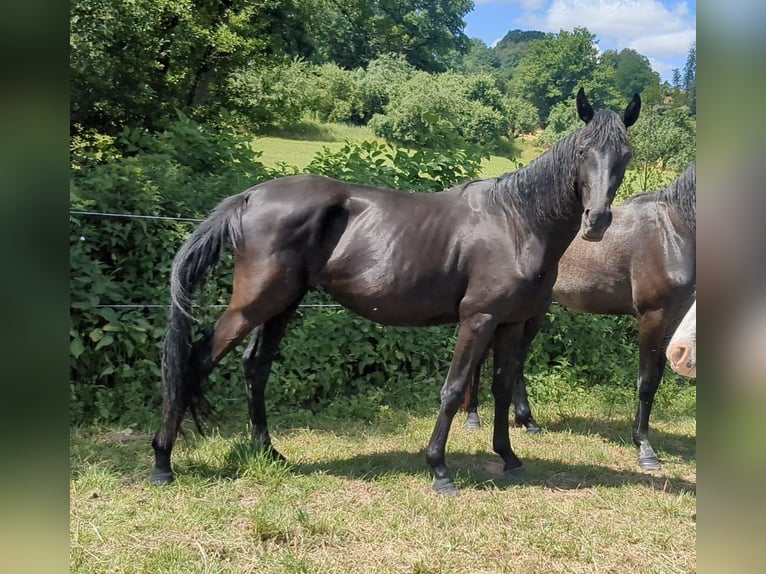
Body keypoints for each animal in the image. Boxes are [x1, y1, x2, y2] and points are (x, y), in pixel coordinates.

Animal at [150, 89, 641, 495]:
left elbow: (502, 387)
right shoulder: (478, 319)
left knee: (256, 368)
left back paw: (269, 452)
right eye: (583, 151)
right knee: (194, 362)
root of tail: (250, 197)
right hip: (253, 305)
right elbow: (452, 389)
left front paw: (509, 456)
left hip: (282, 304)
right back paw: (162, 462)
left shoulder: (511, 323)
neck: (517, 223)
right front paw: (439, 469)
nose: (597, 220)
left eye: (626, 155)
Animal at [462, 162, 695, 471]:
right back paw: (473, 418)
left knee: (517, 361)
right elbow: (646, 383)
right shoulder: (652, 317)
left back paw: (527, 421)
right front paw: (645, 450)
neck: (673, 231)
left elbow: (655, 380)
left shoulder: (673, 321)